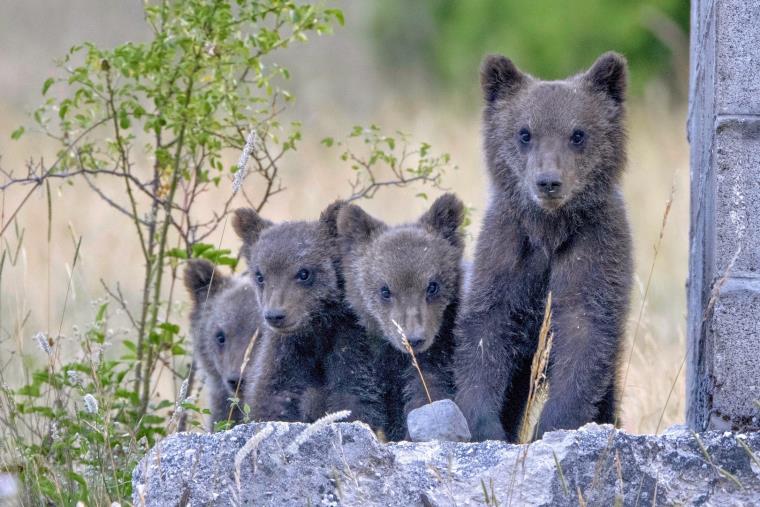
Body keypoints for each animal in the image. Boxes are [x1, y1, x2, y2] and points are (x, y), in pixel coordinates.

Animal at [232, 203, 385, 429]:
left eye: (304, 273)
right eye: (260, 275)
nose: (275, 315)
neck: (315, 332)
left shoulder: (350, 342)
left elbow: (354, 395)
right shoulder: (285, 354)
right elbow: (271, 397)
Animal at [337, 193, 465, 441]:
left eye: (432, 285)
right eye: (385, 290)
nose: (413, 339)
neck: (393, 359)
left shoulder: (436, 353)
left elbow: (427, 391)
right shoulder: (359, 354)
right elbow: (357, 399)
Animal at [454, 52, 633, 441]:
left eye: (578, 134)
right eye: (525, 132)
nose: (549, 181)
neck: (549, 231)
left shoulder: (592, 251)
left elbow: (583, 332)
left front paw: (551, 425)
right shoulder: (508, 250)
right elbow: (486, 330)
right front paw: (485, 423)